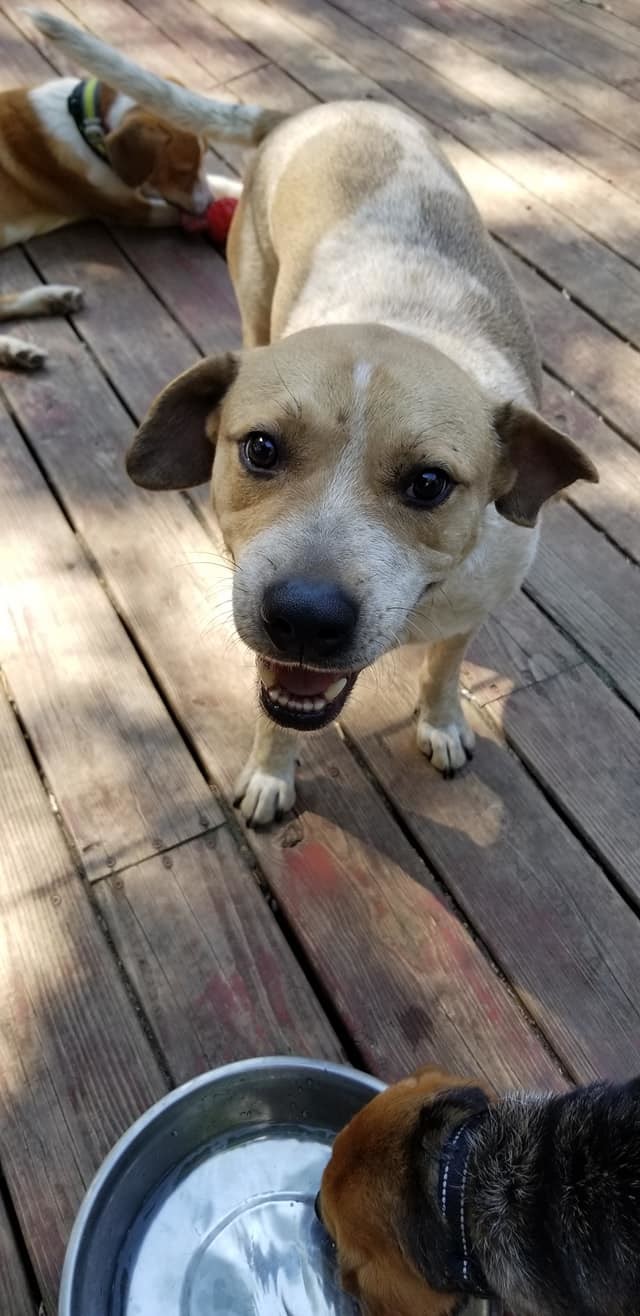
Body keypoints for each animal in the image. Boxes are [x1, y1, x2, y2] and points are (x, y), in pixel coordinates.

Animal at [32, 12, 597, 821]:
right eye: (261, 449)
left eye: (430, 484)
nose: (303, 616)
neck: (404, 321)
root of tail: (305, 113)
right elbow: (273, 713)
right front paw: (273, 774)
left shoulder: (470, 611)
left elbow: (442, 670)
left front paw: (442, 723)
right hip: (255, 289)